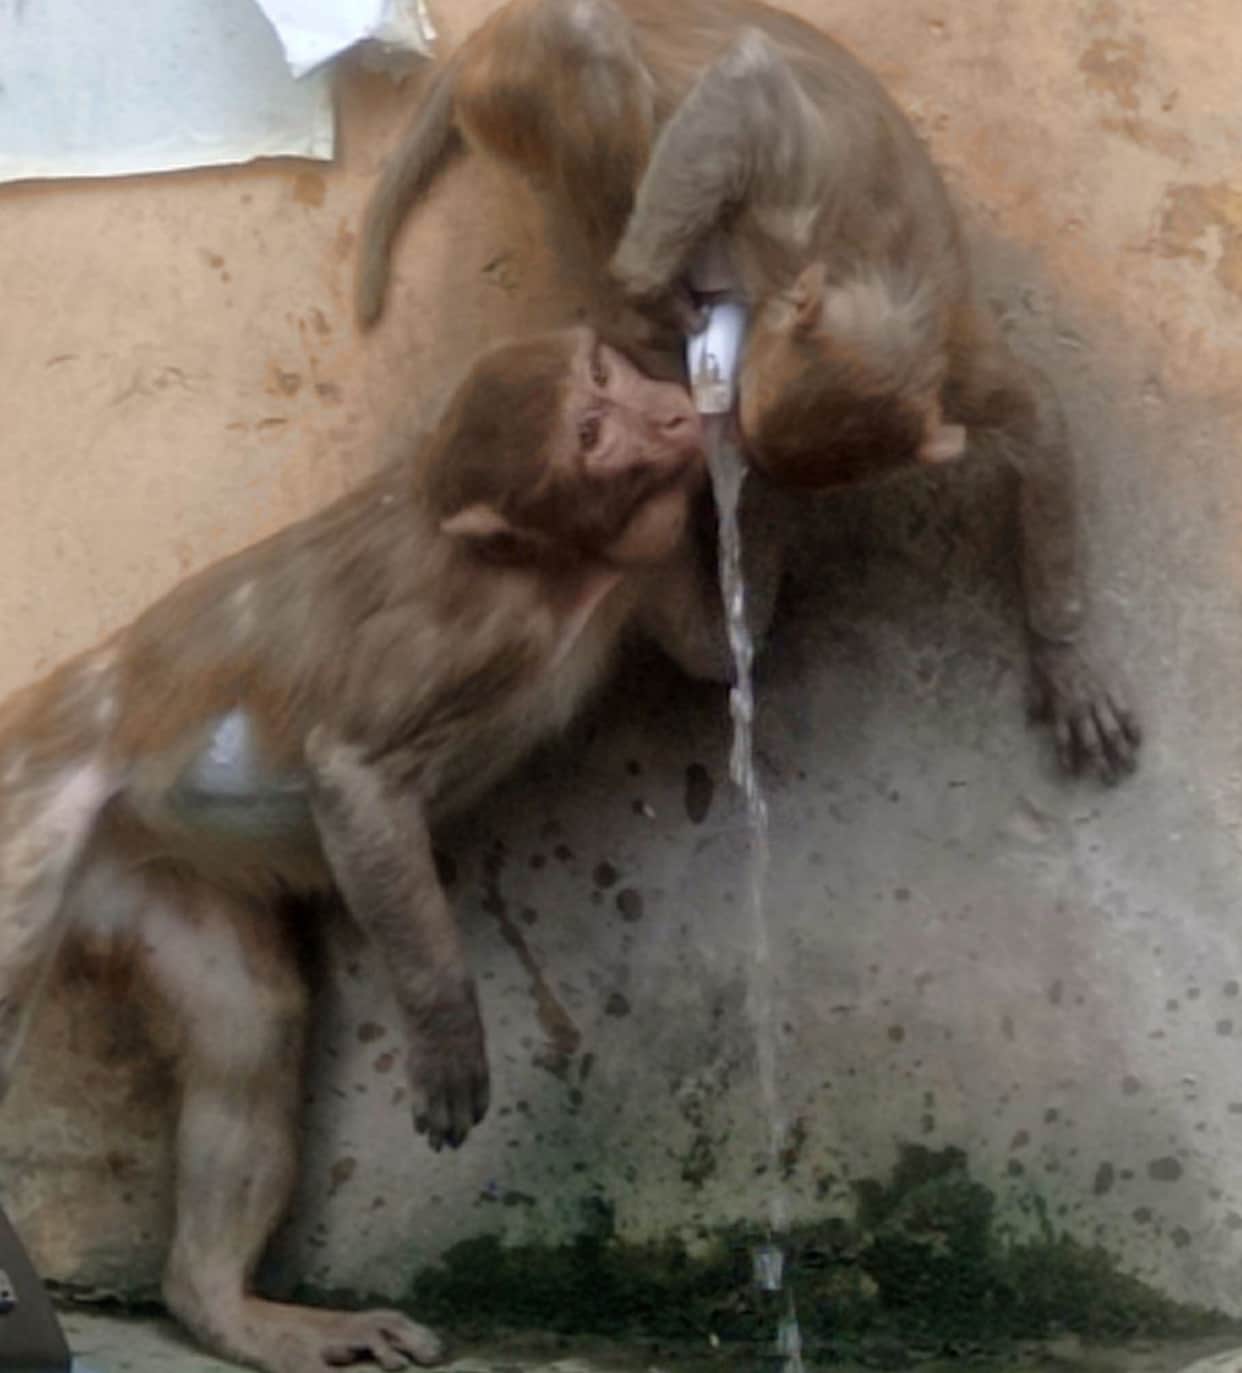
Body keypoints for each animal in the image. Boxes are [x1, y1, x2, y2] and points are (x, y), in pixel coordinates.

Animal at [0, 328, 705, 1373]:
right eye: (591, 428)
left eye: (606, 374)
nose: (672, 412)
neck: (553, 567)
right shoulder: (459, 633)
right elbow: (353, 775)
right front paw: (445, 1023)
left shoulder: (637, 570)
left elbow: (716, 657)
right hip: (33, 815)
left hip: (151, 861)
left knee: (250, 1020)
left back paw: (222, 1305)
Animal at [353, 0, 1141, 781]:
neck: (878, 284)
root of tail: (495, 30)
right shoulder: (798, 210)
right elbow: (743, 93)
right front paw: (650, 294)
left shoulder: (953, 368)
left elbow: (1038, 422)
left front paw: (1065, 659)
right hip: (512, 108)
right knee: (587, 44)